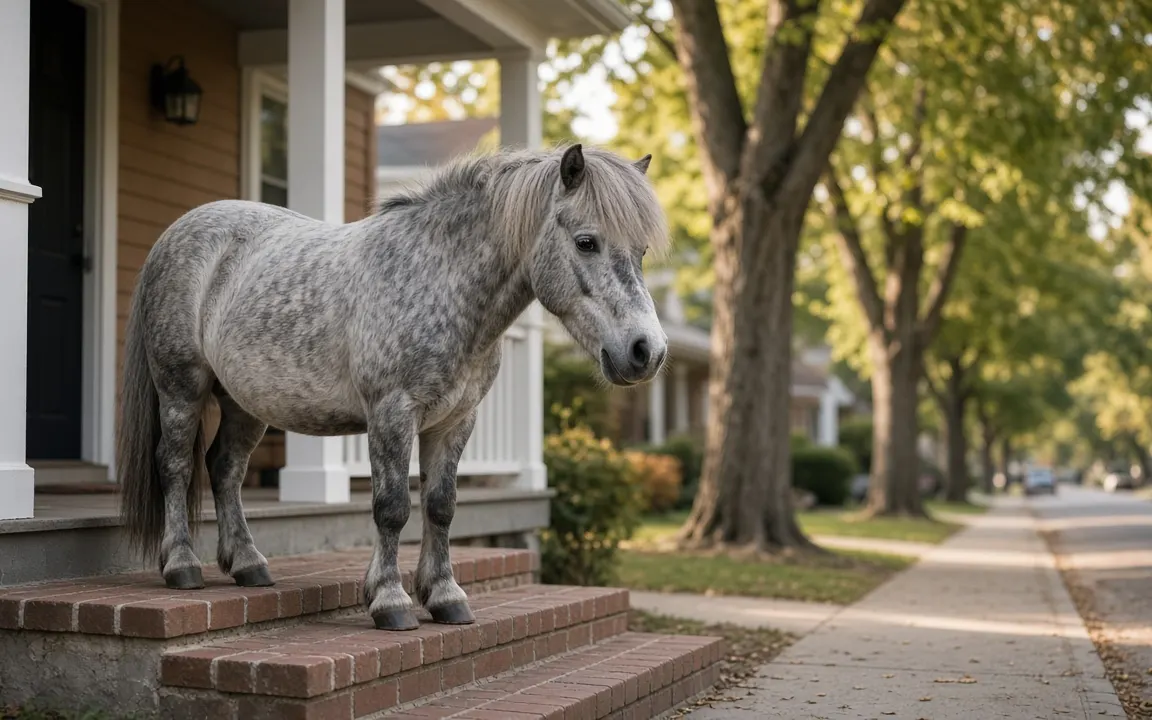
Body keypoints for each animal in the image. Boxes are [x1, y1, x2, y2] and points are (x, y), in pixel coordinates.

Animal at [116, 143, 670, 631]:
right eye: (586, 241)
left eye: (641, 250)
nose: (648, 351)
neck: (439, 280)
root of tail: (176, 233)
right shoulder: (391, 413)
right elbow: (392, 508)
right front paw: (390, 602)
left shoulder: (455, 421)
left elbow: (441, 506)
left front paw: (445, 597)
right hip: (181, 387)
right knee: (176, 464)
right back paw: (182, 566)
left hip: (245, 404)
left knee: (225, 468)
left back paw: (249, 565)